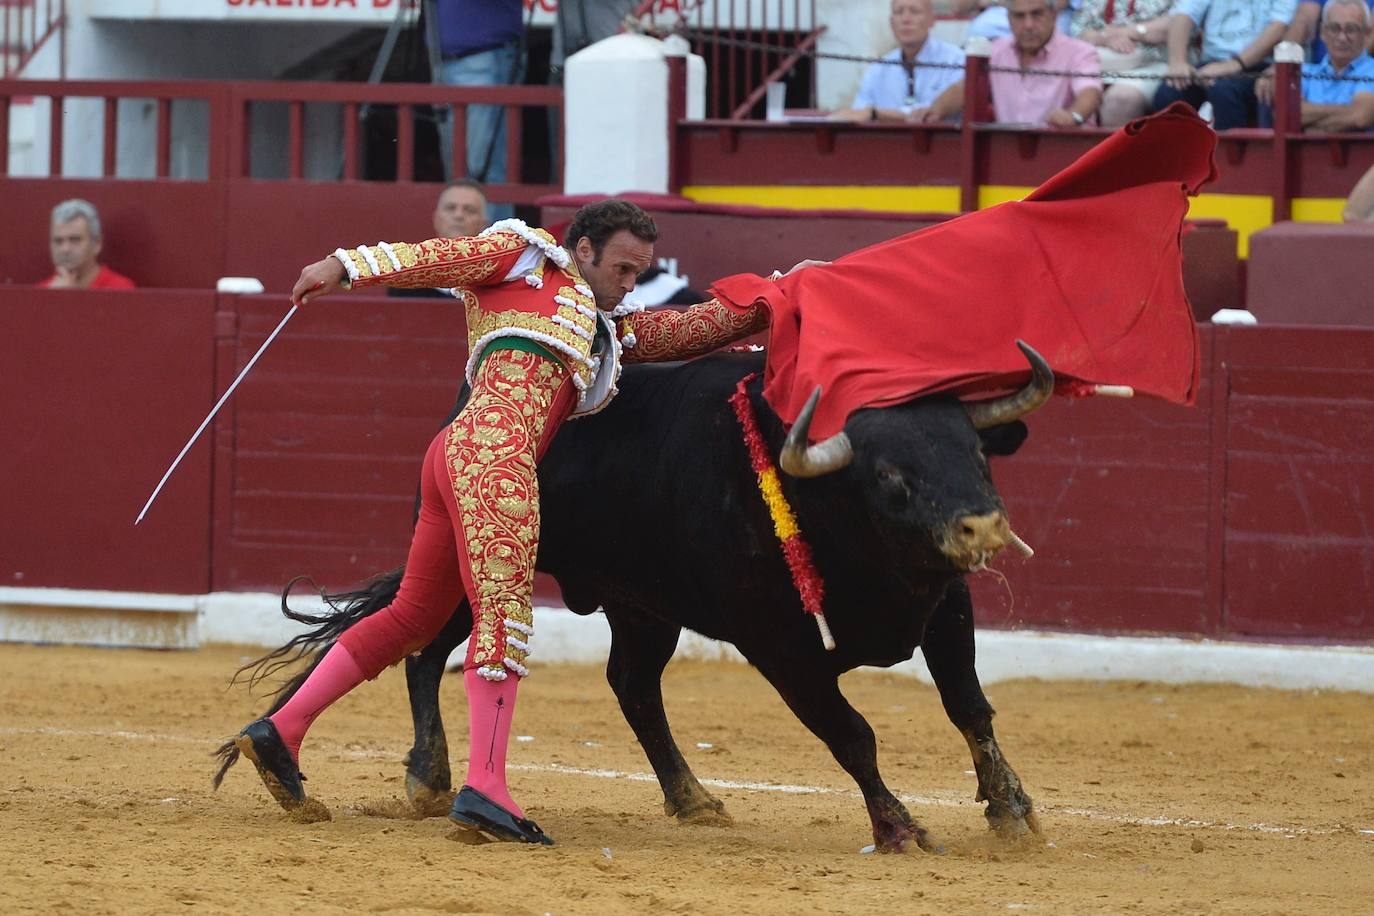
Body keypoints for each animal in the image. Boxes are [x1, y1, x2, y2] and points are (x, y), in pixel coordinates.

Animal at [230, 348, 1044, 851]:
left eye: (976, 453)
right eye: (890, 476)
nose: (981, 525)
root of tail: (460, 408)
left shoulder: (946, 602)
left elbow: (970, 708)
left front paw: (1013, 811)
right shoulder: (779, 648)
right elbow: (853, 735)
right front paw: (900, 829)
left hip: (642, 608)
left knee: (632, 686)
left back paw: (692, 797)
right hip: (471, 572)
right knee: (424, 651)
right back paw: (427, 778)